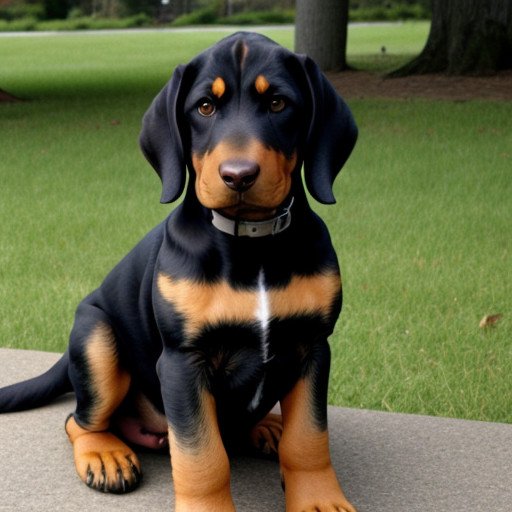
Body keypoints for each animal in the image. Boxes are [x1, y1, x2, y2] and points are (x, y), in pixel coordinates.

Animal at [0, 33, 358, 512]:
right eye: (204, 107)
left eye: (278, 103)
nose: (238, 175)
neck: (253, 246)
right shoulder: (183, 361)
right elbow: (202, 457)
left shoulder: (313, 345)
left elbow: (309, 438)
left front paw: (318, 499)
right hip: (96, 337)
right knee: (78, 420)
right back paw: (105, 454)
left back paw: (265, 426)